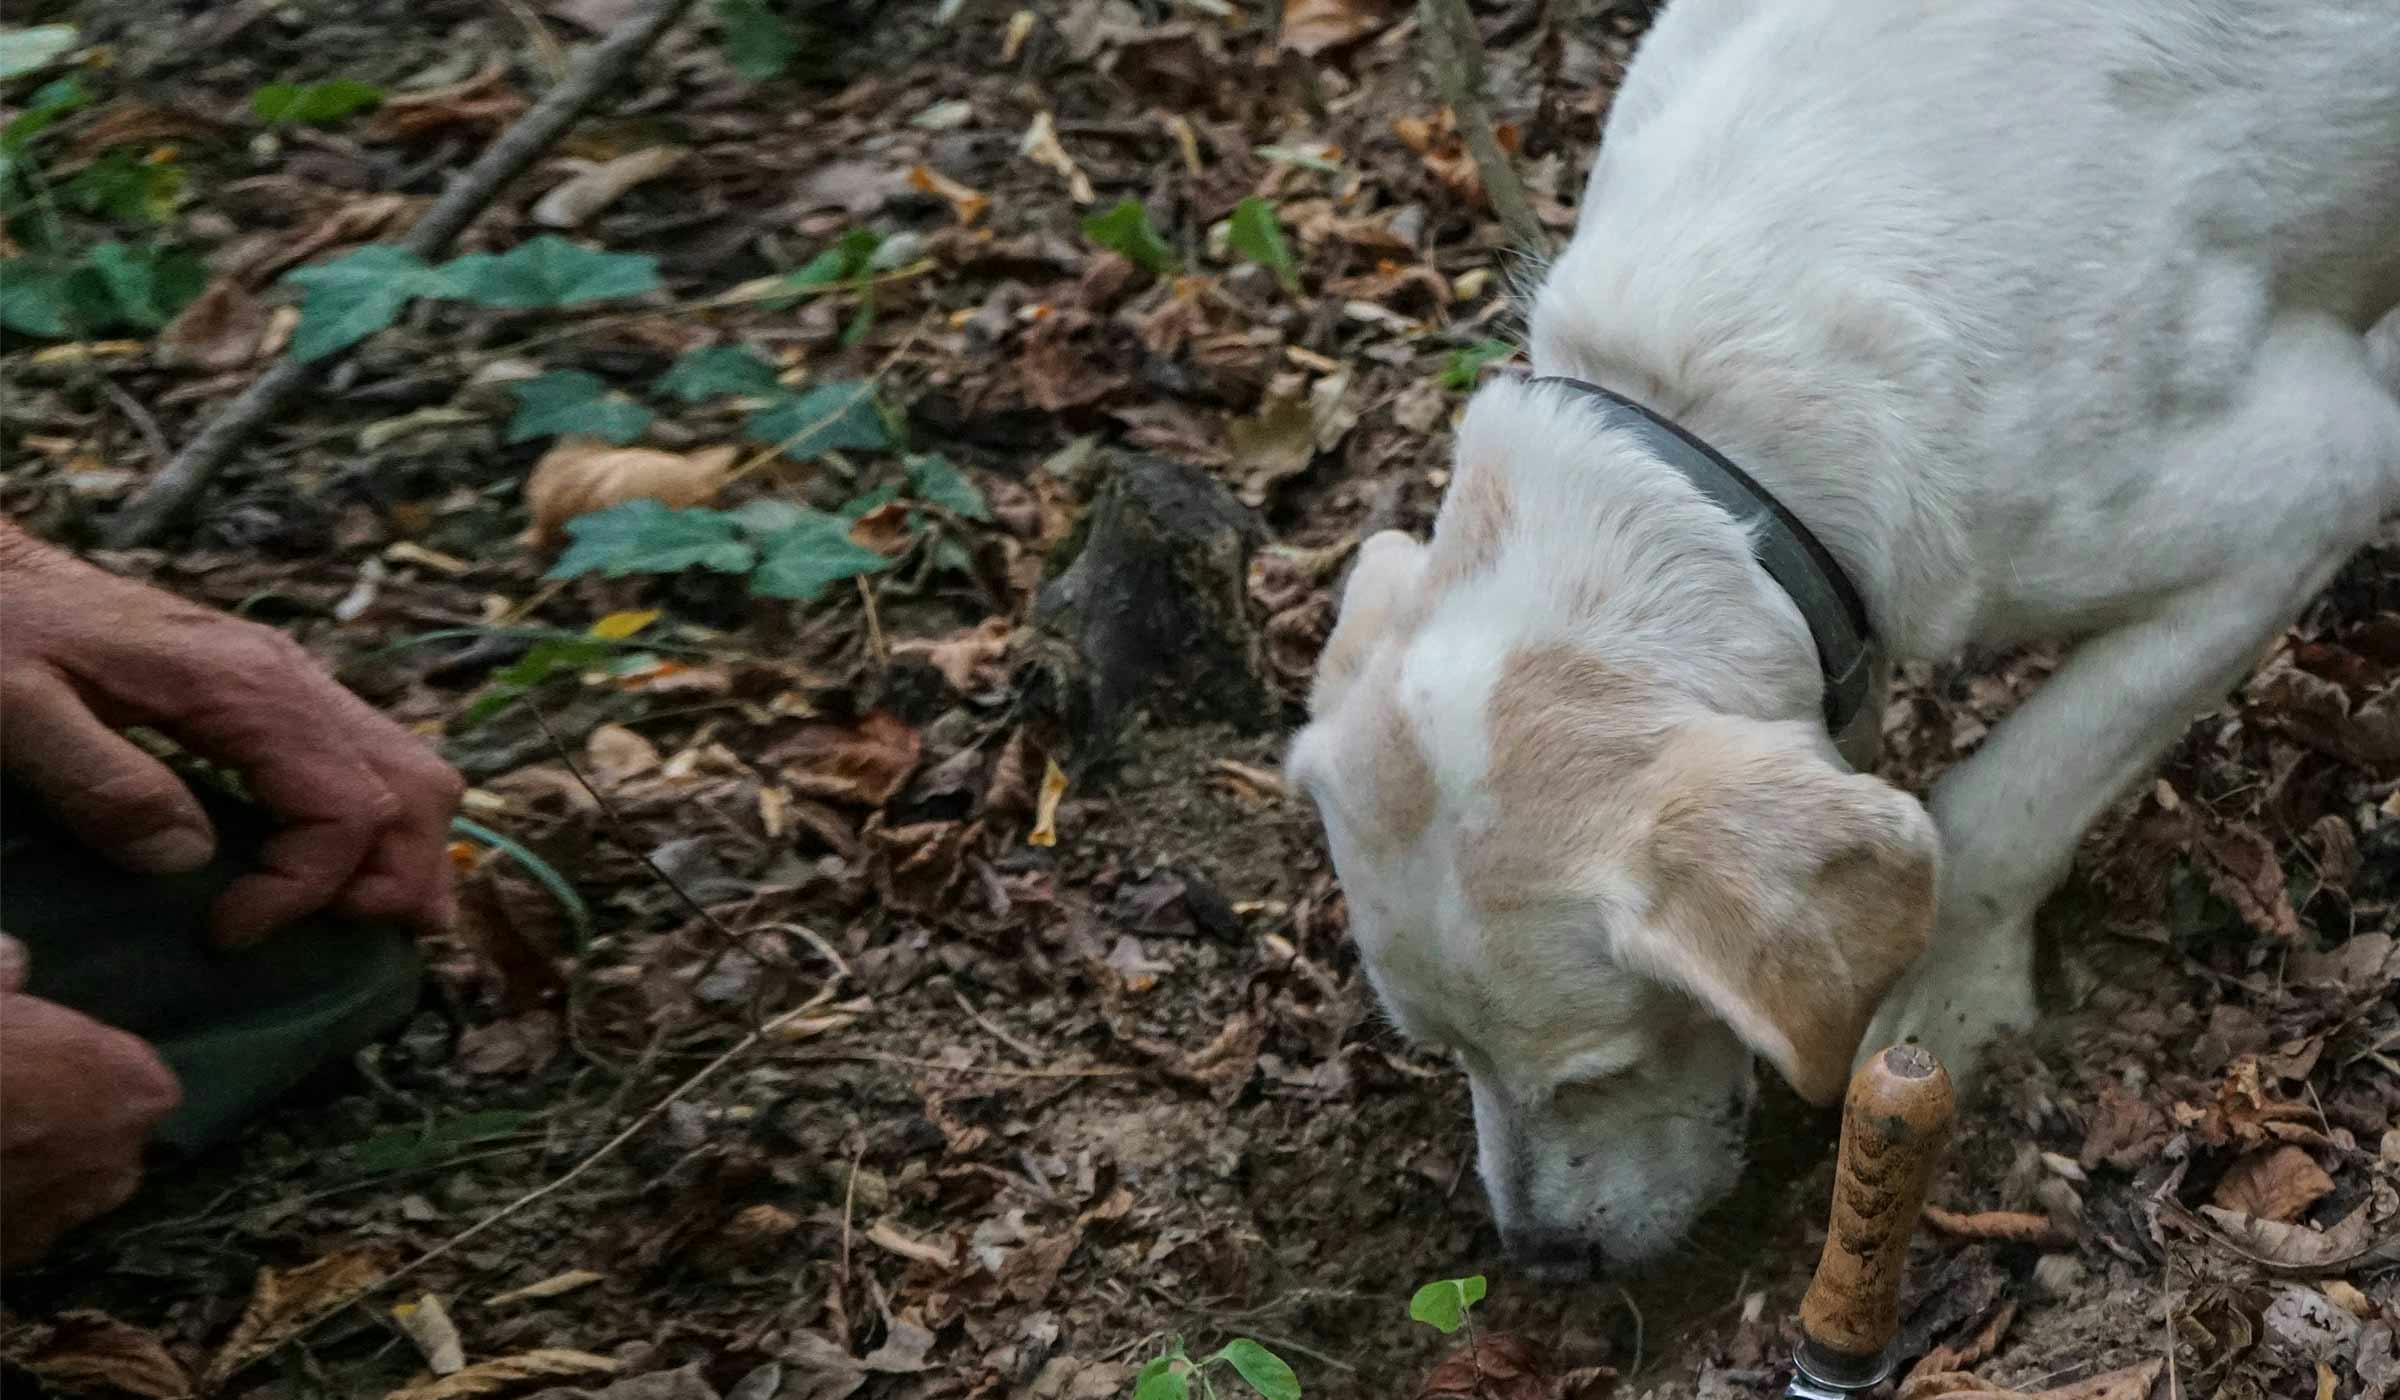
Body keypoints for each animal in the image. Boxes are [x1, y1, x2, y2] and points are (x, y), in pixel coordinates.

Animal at [1296, 0, 2400, 1277]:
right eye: (1445, 1050)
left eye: (1600, 1064)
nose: (1541, 1255)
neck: (1717, 429)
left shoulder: (2316, 480)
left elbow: (1996, 814)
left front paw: (1950, 1003)